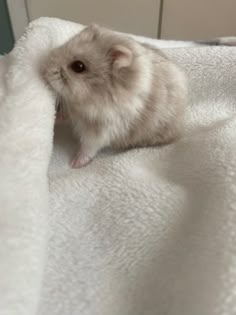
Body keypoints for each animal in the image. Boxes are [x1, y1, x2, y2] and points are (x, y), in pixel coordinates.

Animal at [42, 24, 186, 169]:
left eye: (78, 66)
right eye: (65, 44)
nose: (44, 71)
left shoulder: (103, 128)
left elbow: (88, 147)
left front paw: (74, 164)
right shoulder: (75, 109)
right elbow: (66, 115)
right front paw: (55, 117)